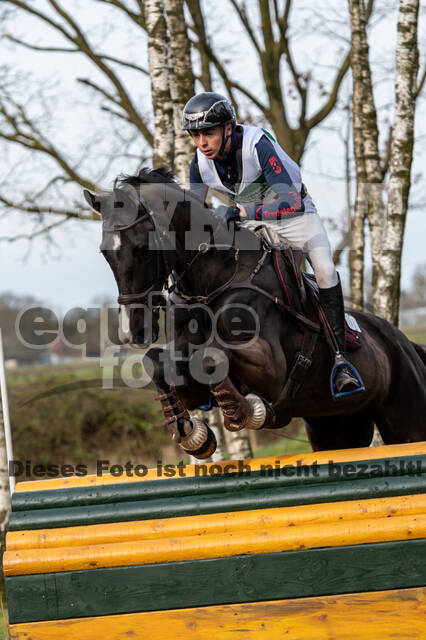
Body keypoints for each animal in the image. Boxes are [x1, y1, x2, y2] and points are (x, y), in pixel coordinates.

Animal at [83, 169, 426, 460]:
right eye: (105, 252)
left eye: (143, 249)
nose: (132, 331)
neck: (214, 281)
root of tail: (405, 343)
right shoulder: (188, 376)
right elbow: (156, 362)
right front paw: (193, 435)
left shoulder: (271, 368)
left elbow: (212, 356)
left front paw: (247, 410)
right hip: (336, 427)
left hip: (406, 421)